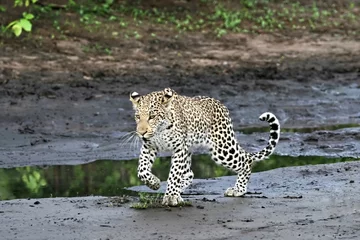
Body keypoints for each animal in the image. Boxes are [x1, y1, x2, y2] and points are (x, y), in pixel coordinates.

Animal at [130, 88, 282, 206]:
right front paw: (154, 183)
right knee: (189, 174)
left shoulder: (179, 149)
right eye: (137, 116)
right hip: (194, 149)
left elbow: (174, 174)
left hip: (222, 149)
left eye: (152, 116)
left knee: (245, 161)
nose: (141, 132)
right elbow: (142, 170)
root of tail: (220, 105)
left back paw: (239, 189)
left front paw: (171, 196)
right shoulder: (149, 147)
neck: (160, 131)